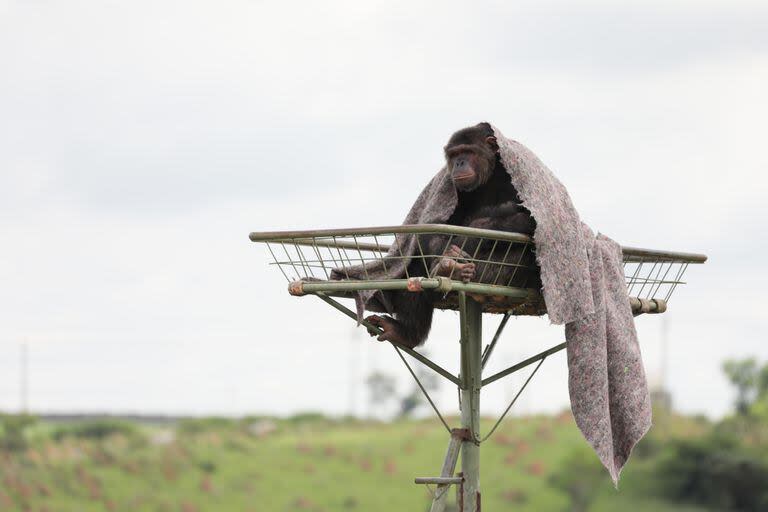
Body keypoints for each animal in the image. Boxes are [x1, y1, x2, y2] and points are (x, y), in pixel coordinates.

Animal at [366, 123, 540, 348]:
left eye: (468, 151)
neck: (491, 172)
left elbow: (528, 218)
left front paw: (473, 234)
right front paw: (450, 249)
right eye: (455, 154)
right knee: (417, 262)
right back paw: (407, 330)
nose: (459, 162)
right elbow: (434, 229)